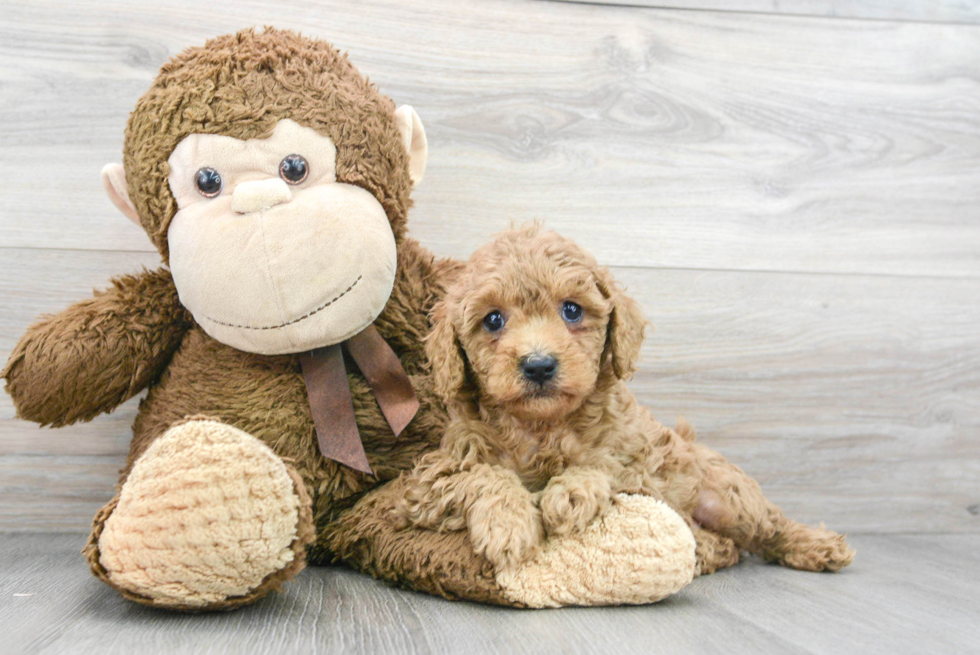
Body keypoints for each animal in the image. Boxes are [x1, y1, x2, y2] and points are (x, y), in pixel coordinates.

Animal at [394, 224, 852, 576]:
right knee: (719, 541)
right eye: (493, 320)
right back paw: (709, 551)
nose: (539, 365)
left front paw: (571, 492)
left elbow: (604, 467)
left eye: (572, 311)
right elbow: (481, 475)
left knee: (768, 526)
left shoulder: (641, 468)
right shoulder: (429, 479)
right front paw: (508, 524)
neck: (543, 426)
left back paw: (818, 546)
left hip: (727, 494)